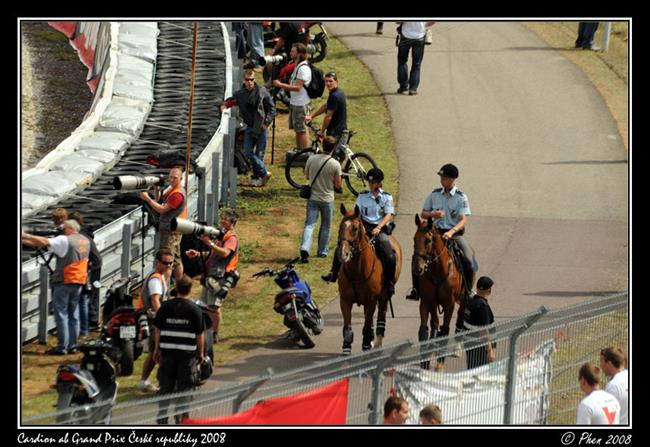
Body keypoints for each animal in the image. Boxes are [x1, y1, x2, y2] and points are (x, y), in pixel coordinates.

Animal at [334, 205, 400, 356]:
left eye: (355, 228)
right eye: (340, 226)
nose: (342, 253)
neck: (357, 272)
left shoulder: (371, 302)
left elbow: (366, 328)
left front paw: (366, 347)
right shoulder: (345, 301)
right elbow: (348, 330)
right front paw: (346, 352)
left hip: (384, 297)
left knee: (380, 318)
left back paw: (377, 343)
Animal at [412, 215, 468, 370]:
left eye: (428, 240)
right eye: (414, 239)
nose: (417, 268)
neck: (438, 271)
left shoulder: (449, 304)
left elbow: (444, 330)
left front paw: (439, 364)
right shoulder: (430, 301)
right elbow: (431, 327)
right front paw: (426, 360)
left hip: (463, 300)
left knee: (459, 320)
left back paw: (457, 349)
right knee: (429, 327)